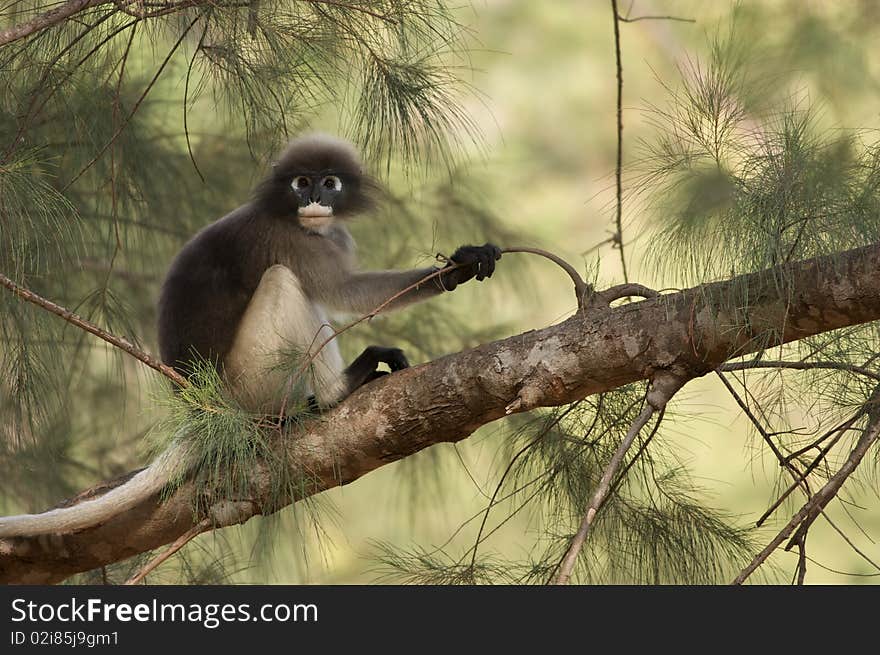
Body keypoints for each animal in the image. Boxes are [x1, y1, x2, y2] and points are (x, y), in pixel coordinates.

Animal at [0, 133, 502, 540]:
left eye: (329, 182)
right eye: (301, 182)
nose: (315, 196)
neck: (299, 220)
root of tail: (202, 406)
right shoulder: (287, 238)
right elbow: (348, 292)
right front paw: (456, 268)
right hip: (250, 379)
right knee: (283, 281)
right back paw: (337, 391)